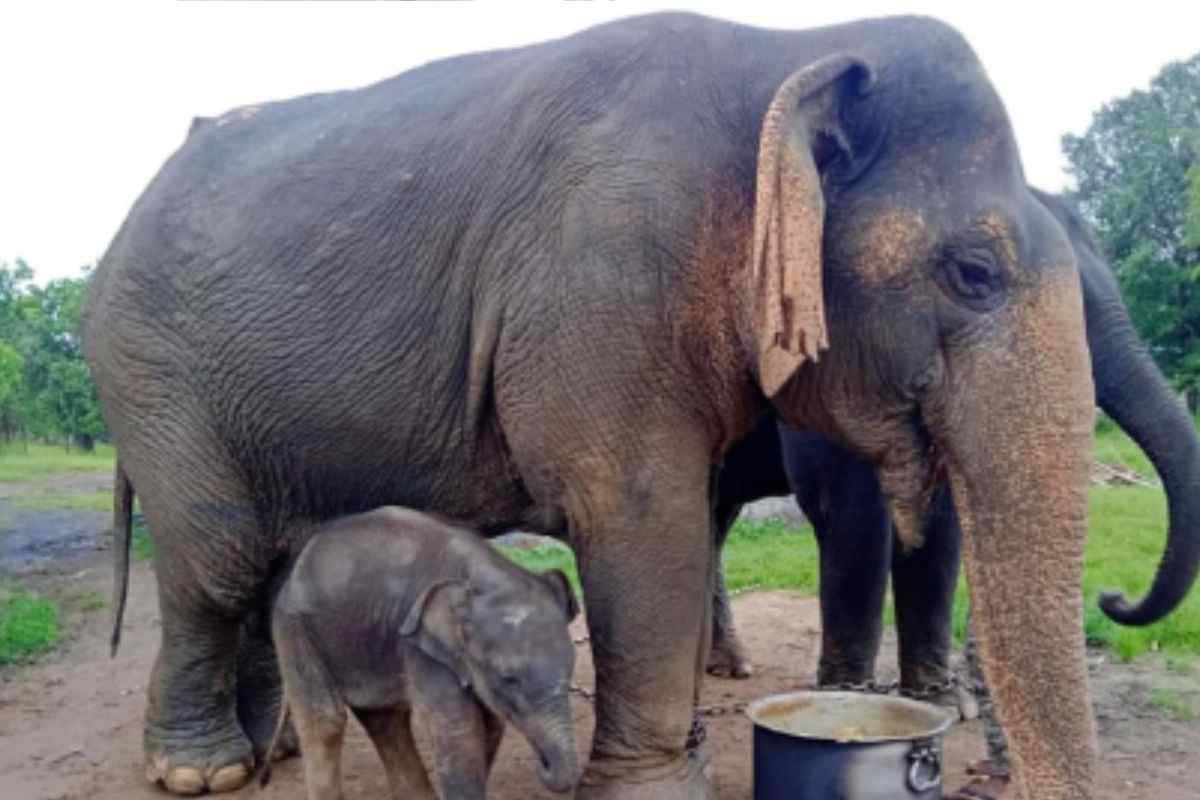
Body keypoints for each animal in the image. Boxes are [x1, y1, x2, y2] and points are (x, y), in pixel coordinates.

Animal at [258, 506, 581, 800]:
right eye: (508, 679)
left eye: (570, 670)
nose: (543, 763)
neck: (487, 576)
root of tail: (296, 567)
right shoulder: (419, 648)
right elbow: (459, 731)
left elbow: (490, 725)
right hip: (294, 628)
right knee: (325, 721)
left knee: (384, 719)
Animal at [706, 190, 1200, 702]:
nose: (1112, 597)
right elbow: (850, 510)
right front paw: (846, 698)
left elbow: (942, 515)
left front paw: (940, 699)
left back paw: (729, 664)